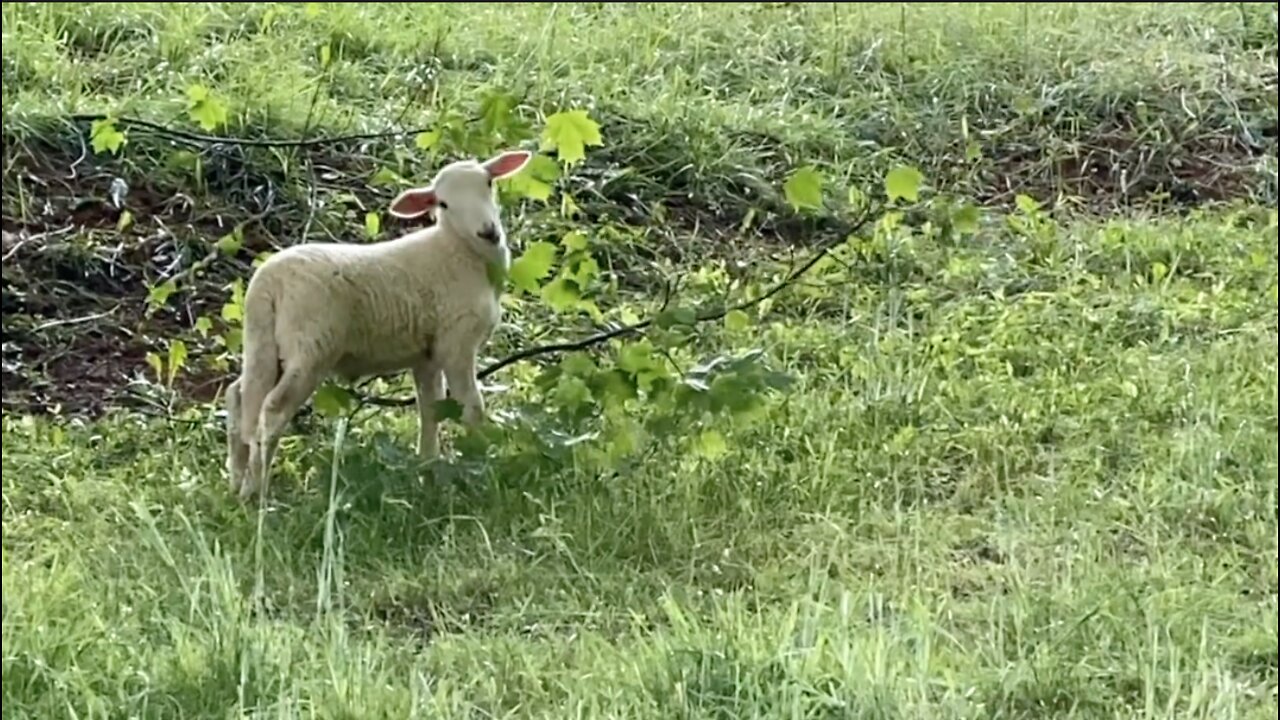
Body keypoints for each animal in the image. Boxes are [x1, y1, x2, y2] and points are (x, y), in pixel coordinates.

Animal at [222, 148, 532, 499]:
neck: (459, 251)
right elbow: (472, 407)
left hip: (261, 340)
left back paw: (237, 481)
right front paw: (481, 462)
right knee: (273, 409)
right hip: (310, 348)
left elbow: (430, 411)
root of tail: (268, 284)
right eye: (443, 204)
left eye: (489, 183)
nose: (488, 231)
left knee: (239, 397)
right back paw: (255, 492)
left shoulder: (426, 353)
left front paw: (428, 470)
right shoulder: (456, 342)